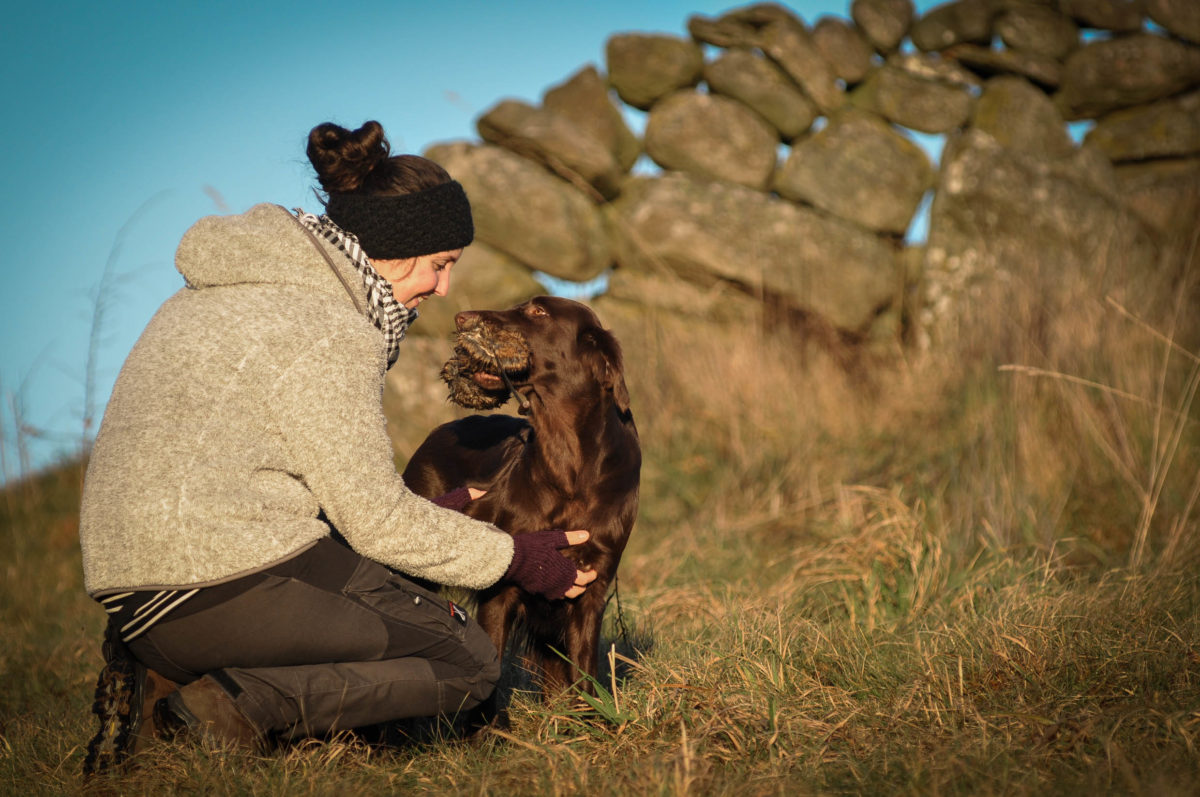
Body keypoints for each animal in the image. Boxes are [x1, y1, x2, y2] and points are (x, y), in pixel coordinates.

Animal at [403, 295, 643, 696]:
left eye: (538, 311)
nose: (462, 317)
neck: (568, 462)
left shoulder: (591, 589)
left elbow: (583, 674)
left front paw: (590, 713)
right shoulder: (501, 589)